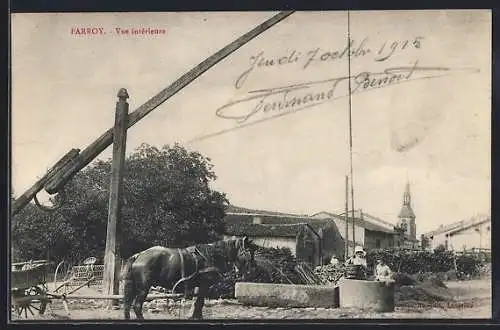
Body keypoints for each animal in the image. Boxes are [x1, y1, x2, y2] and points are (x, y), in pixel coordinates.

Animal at [120, 237, 254, 320]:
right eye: (247, 252)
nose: (249, 271)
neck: (211, 255)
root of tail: (139, 255)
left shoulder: (200, 287)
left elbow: (198, 303)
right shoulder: (204, 285)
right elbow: (199, 303)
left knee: (127, 305)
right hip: (143, 288)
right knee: (137, 306)